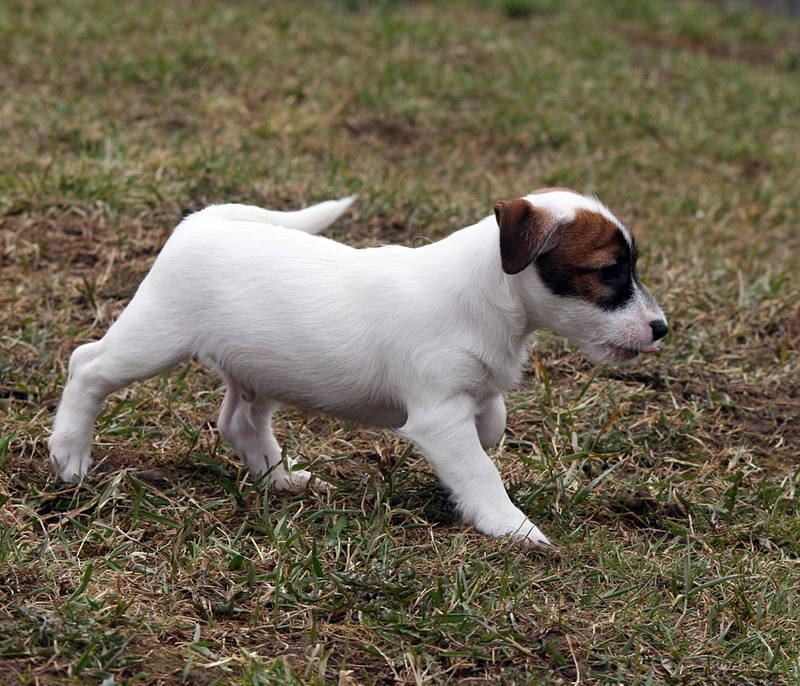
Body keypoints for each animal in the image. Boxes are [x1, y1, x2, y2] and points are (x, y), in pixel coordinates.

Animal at [47, 191, 664, 552]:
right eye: (609, 272)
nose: (660, 328)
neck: (488, 294)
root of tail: (204, 222)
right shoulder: (438, 417)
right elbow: (480, 471)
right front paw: (510, 525)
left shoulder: (470, 389)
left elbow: (493, 418)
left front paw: (490, 435)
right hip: (155, 337)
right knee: (88, 365)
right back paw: (69, 453)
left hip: (262, 369)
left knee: (240, 425)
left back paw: (285, 480)